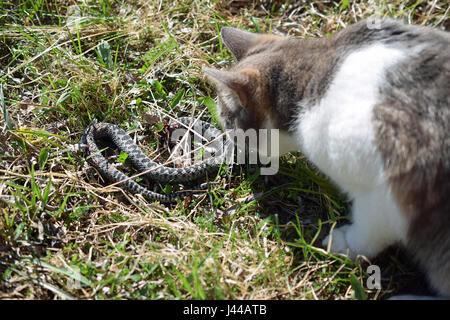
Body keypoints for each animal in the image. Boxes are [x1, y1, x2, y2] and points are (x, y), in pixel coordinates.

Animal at [205, 18, 450, 298]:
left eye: (229, 125)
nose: (234, 153)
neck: (317, 68)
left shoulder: (386, 194)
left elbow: (371, 229)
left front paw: (346, 244)